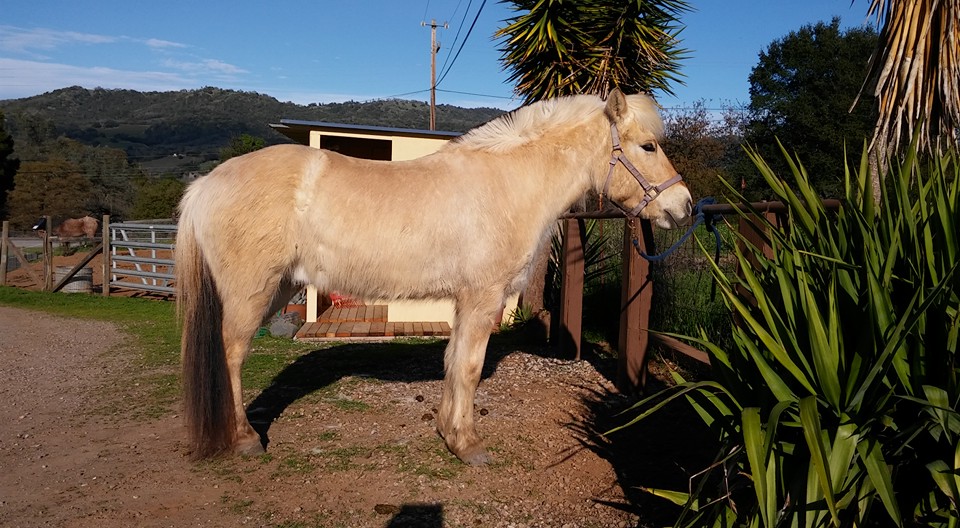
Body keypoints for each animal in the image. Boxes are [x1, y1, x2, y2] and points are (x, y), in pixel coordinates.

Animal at [176, 88, 692, 464]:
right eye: (648, 146)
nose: (683, 205)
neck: (507, 183)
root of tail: (205, 184)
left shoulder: (465, 302)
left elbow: (454, 363)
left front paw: (449, 431)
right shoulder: (483, 299)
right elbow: (470, 367)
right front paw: (468, 445)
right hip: (251, 292)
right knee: (232, 353)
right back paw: (245, 438)